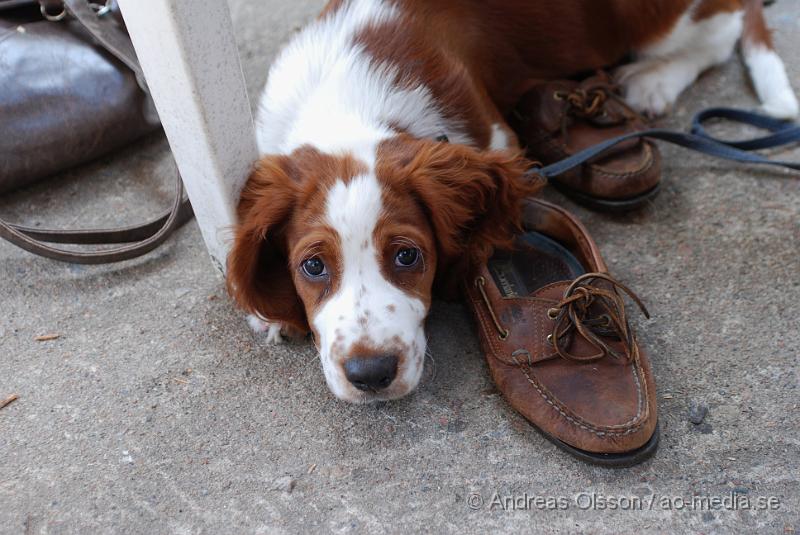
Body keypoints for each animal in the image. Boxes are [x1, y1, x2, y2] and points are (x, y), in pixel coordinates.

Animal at [228, 0, 796, 402]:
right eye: (313, 266)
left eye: (408, 255)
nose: (371, 375)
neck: (345, 106)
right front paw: (272, 314)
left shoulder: (495, 142)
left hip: (651, 17)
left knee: (720, 30)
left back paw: (652, 80)